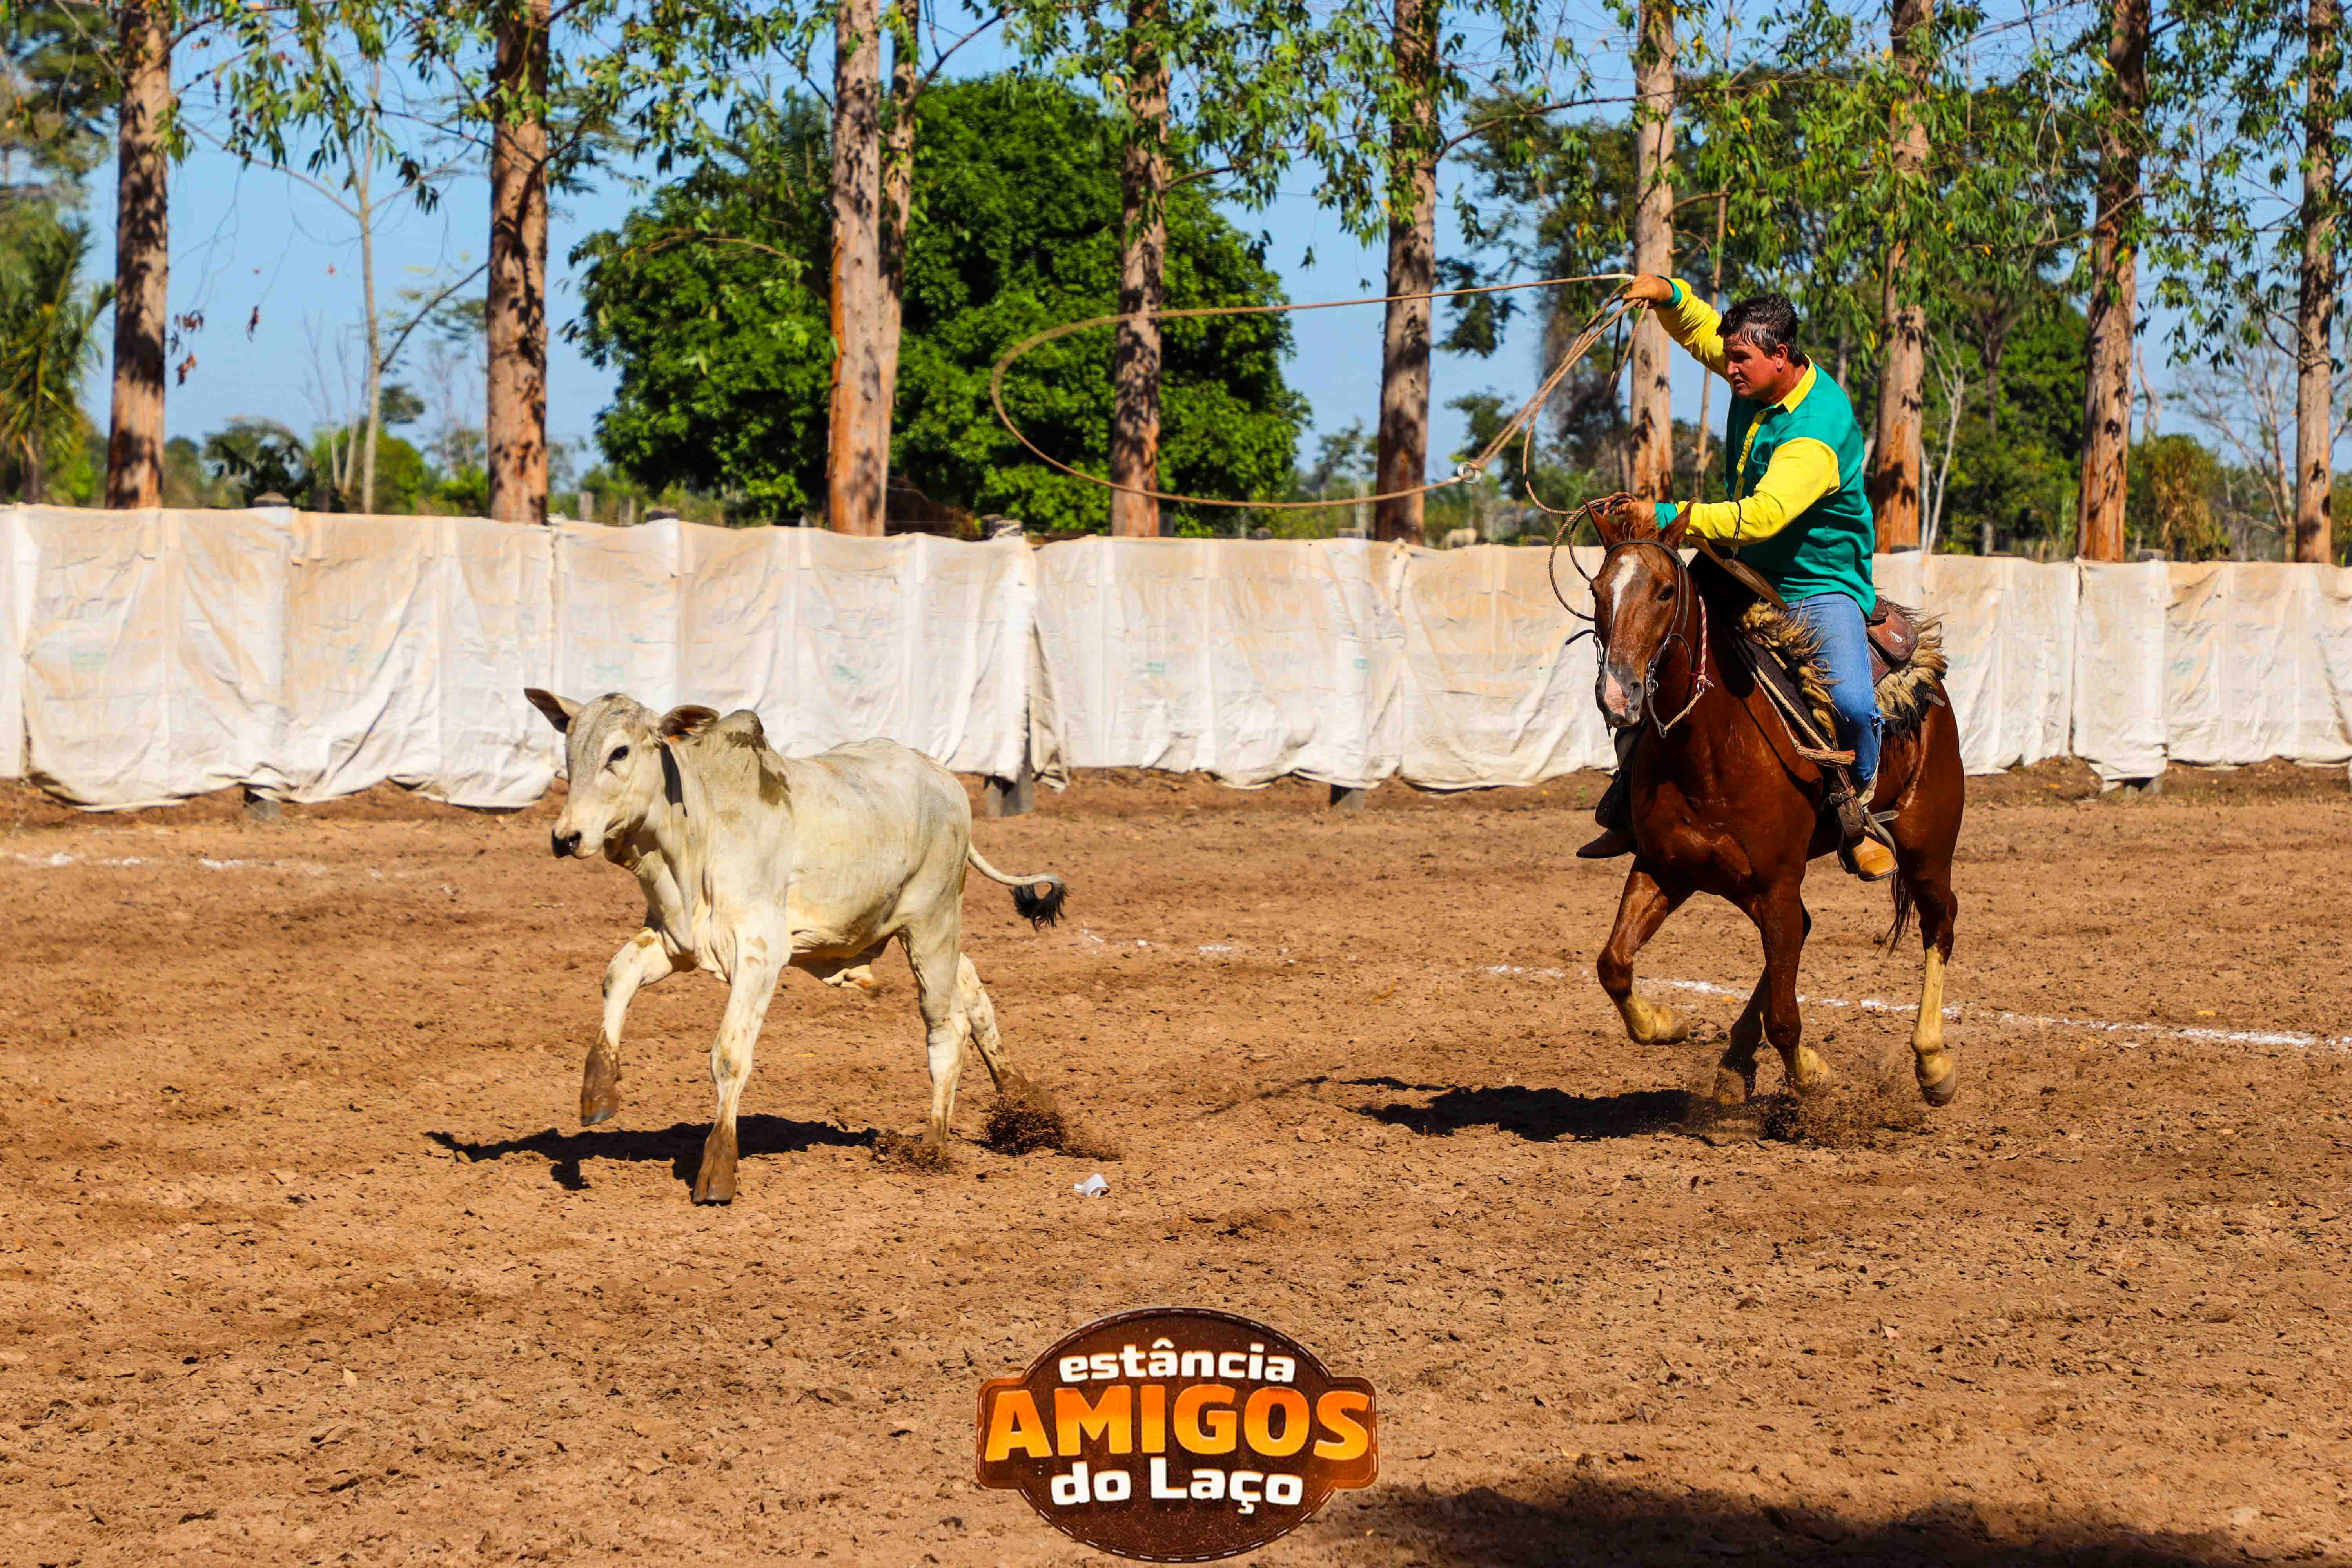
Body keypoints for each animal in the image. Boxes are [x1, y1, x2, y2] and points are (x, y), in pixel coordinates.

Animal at [1579, 506, 1965, 1108]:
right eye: (1597, 590)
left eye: (1666, 591)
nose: (1617, 695)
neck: (1709, 749)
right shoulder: (1663, 868)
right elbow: (1613, 965)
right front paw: (1668, 1023)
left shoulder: (1778, 884)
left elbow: (1786, 1017)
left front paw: (1813, 1075)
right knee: (1802, 934)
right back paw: (1733, 1064)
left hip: (1928, 844)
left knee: (1939, 922)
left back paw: (1933, 1063)